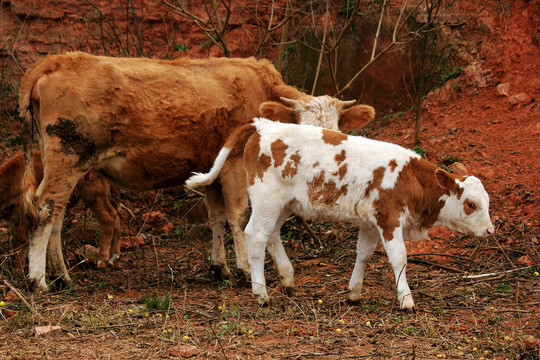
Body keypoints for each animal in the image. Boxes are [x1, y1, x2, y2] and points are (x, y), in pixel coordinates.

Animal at [17, 52, 376, 292]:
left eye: (337, 131)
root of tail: (58, 60)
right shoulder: (234, 166)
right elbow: (237, 215)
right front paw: (246, 268)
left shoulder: (211, 169)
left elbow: (216, 216)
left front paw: (220, 267)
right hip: (67, 159)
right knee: (46, 209)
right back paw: (39, 280)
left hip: (67, 166)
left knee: (57, 214)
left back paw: (61, 275)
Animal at [188, 118, 496, 310]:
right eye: (471, 204)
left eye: (487, 201)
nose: (490, 230)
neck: (409, 178)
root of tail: (263, 125)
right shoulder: (389, 218)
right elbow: (399, 257)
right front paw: (406, 300)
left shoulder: (370, 222)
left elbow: (364, 254)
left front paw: (354, 293)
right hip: (266, 199)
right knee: (255, 235)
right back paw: (261, 293)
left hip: (283, 204)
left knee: (272, 234)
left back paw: (287, 279)